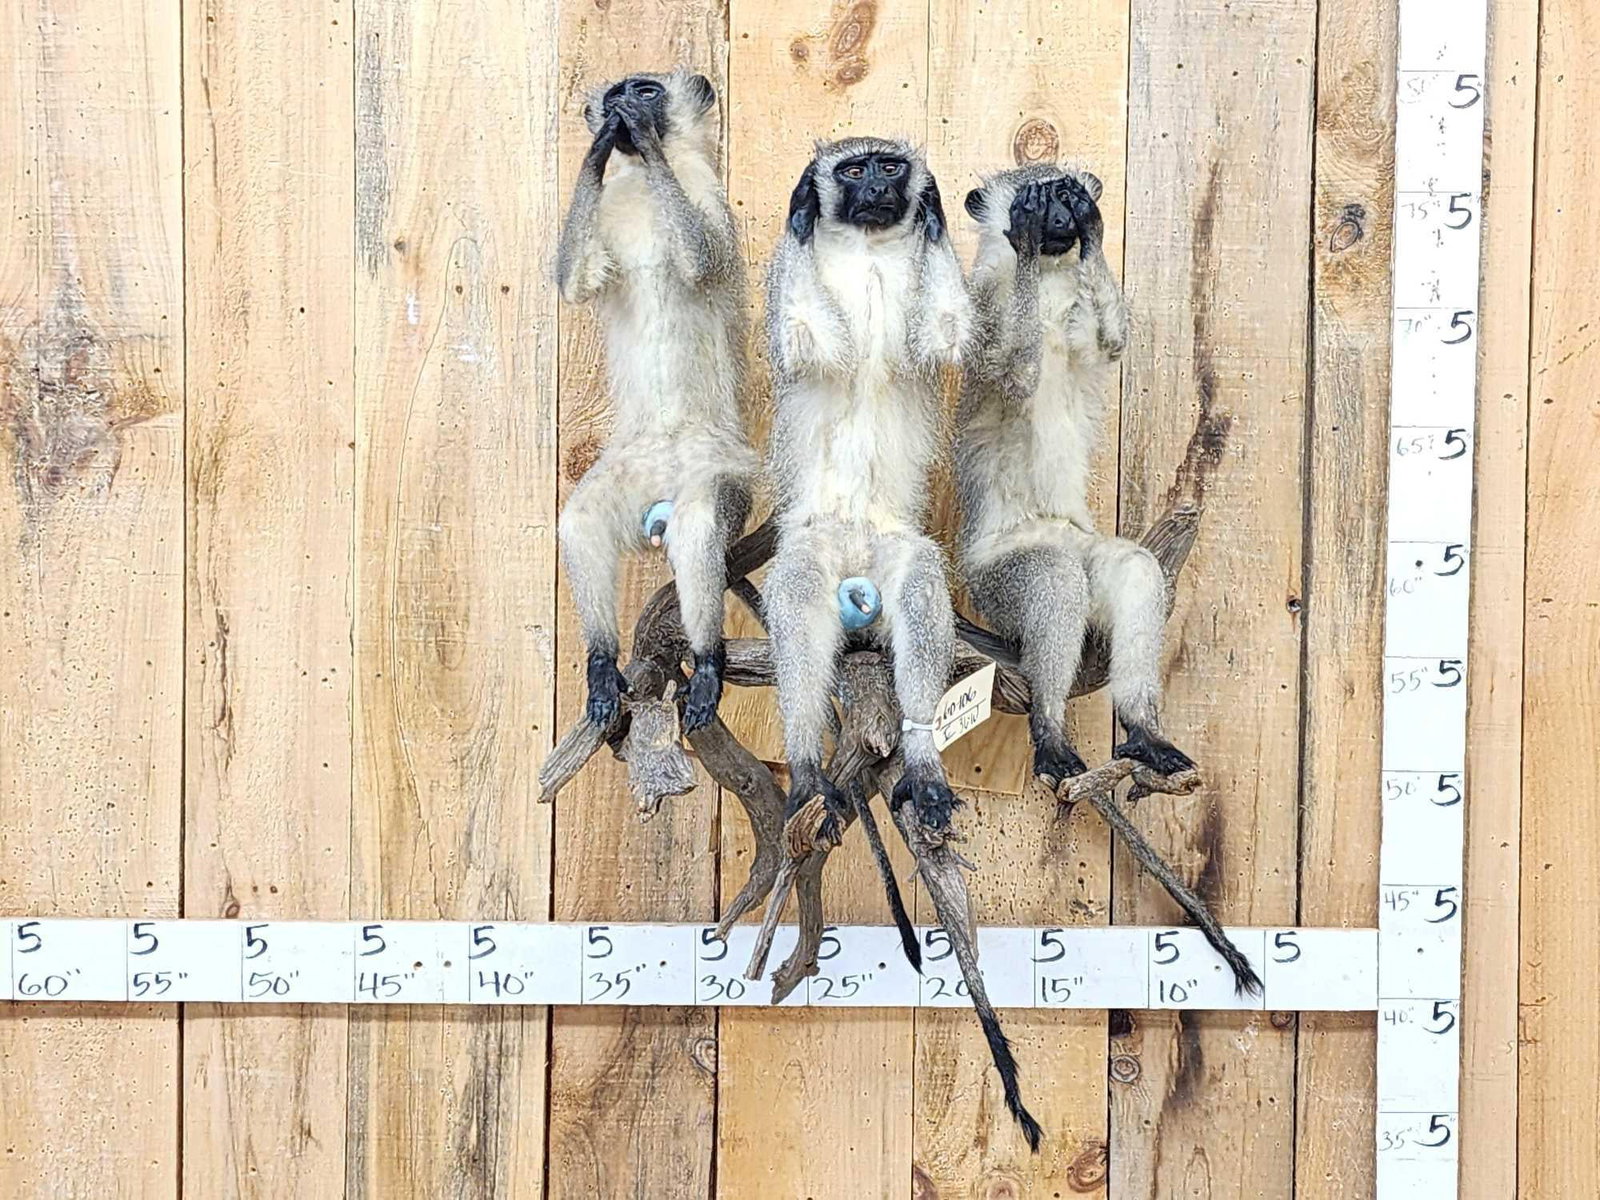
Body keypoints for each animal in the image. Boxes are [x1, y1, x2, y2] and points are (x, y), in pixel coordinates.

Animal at [555, 68, 757, 735]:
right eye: (618, 89)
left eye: (646, 89)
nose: (625, 104)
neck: (647, 184)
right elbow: (573, 282)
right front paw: (597, 151)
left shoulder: (703, 188)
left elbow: (701, 259)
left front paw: (638, 135)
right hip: (627, 471)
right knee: (582, 523)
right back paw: (601, 663)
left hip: (717, 474)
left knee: (698, 529)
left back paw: (708, 661)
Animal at [956, 163, 1195, 790]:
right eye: (1035, 196)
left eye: (1067, 191)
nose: (1061, 214)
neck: (1046, 286)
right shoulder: (981, 304)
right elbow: (1013, 375)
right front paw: (1022, 234)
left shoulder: (1088, 315)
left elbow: (1113, 342)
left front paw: (1094, 231)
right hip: (994, 582)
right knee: (1055, 583)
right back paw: (1050, 730)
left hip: (1087, 548)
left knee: (1135, 571)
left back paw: (1144, 733)